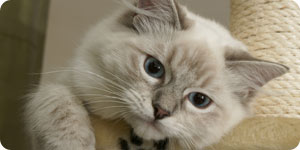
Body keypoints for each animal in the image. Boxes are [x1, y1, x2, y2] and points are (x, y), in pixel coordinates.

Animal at [25, 0, 288, 149]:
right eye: (153, 68)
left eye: (199, 100)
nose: (161, 111)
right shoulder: (62, 82)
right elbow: (58, 101)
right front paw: (72, 144)